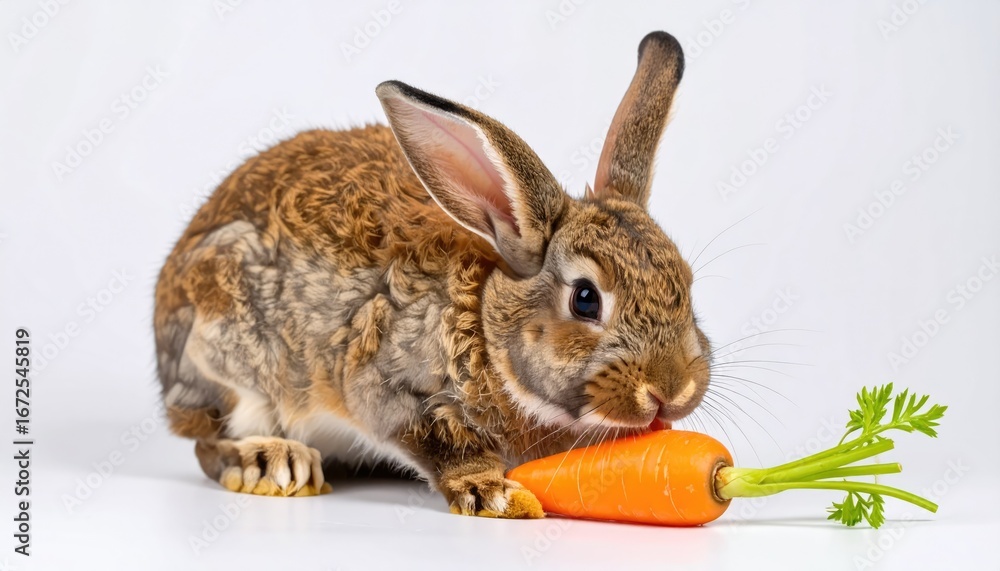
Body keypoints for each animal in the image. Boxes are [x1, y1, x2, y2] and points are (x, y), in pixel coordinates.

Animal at [154, 30, 710, 518]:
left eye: (686, 283)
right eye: (585, 299)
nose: (672, 390)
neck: (487, 326)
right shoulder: (387, 383)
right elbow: (440, 442)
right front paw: (496, 496)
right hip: (227, 359)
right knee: (209, 440)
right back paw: (275, 461)